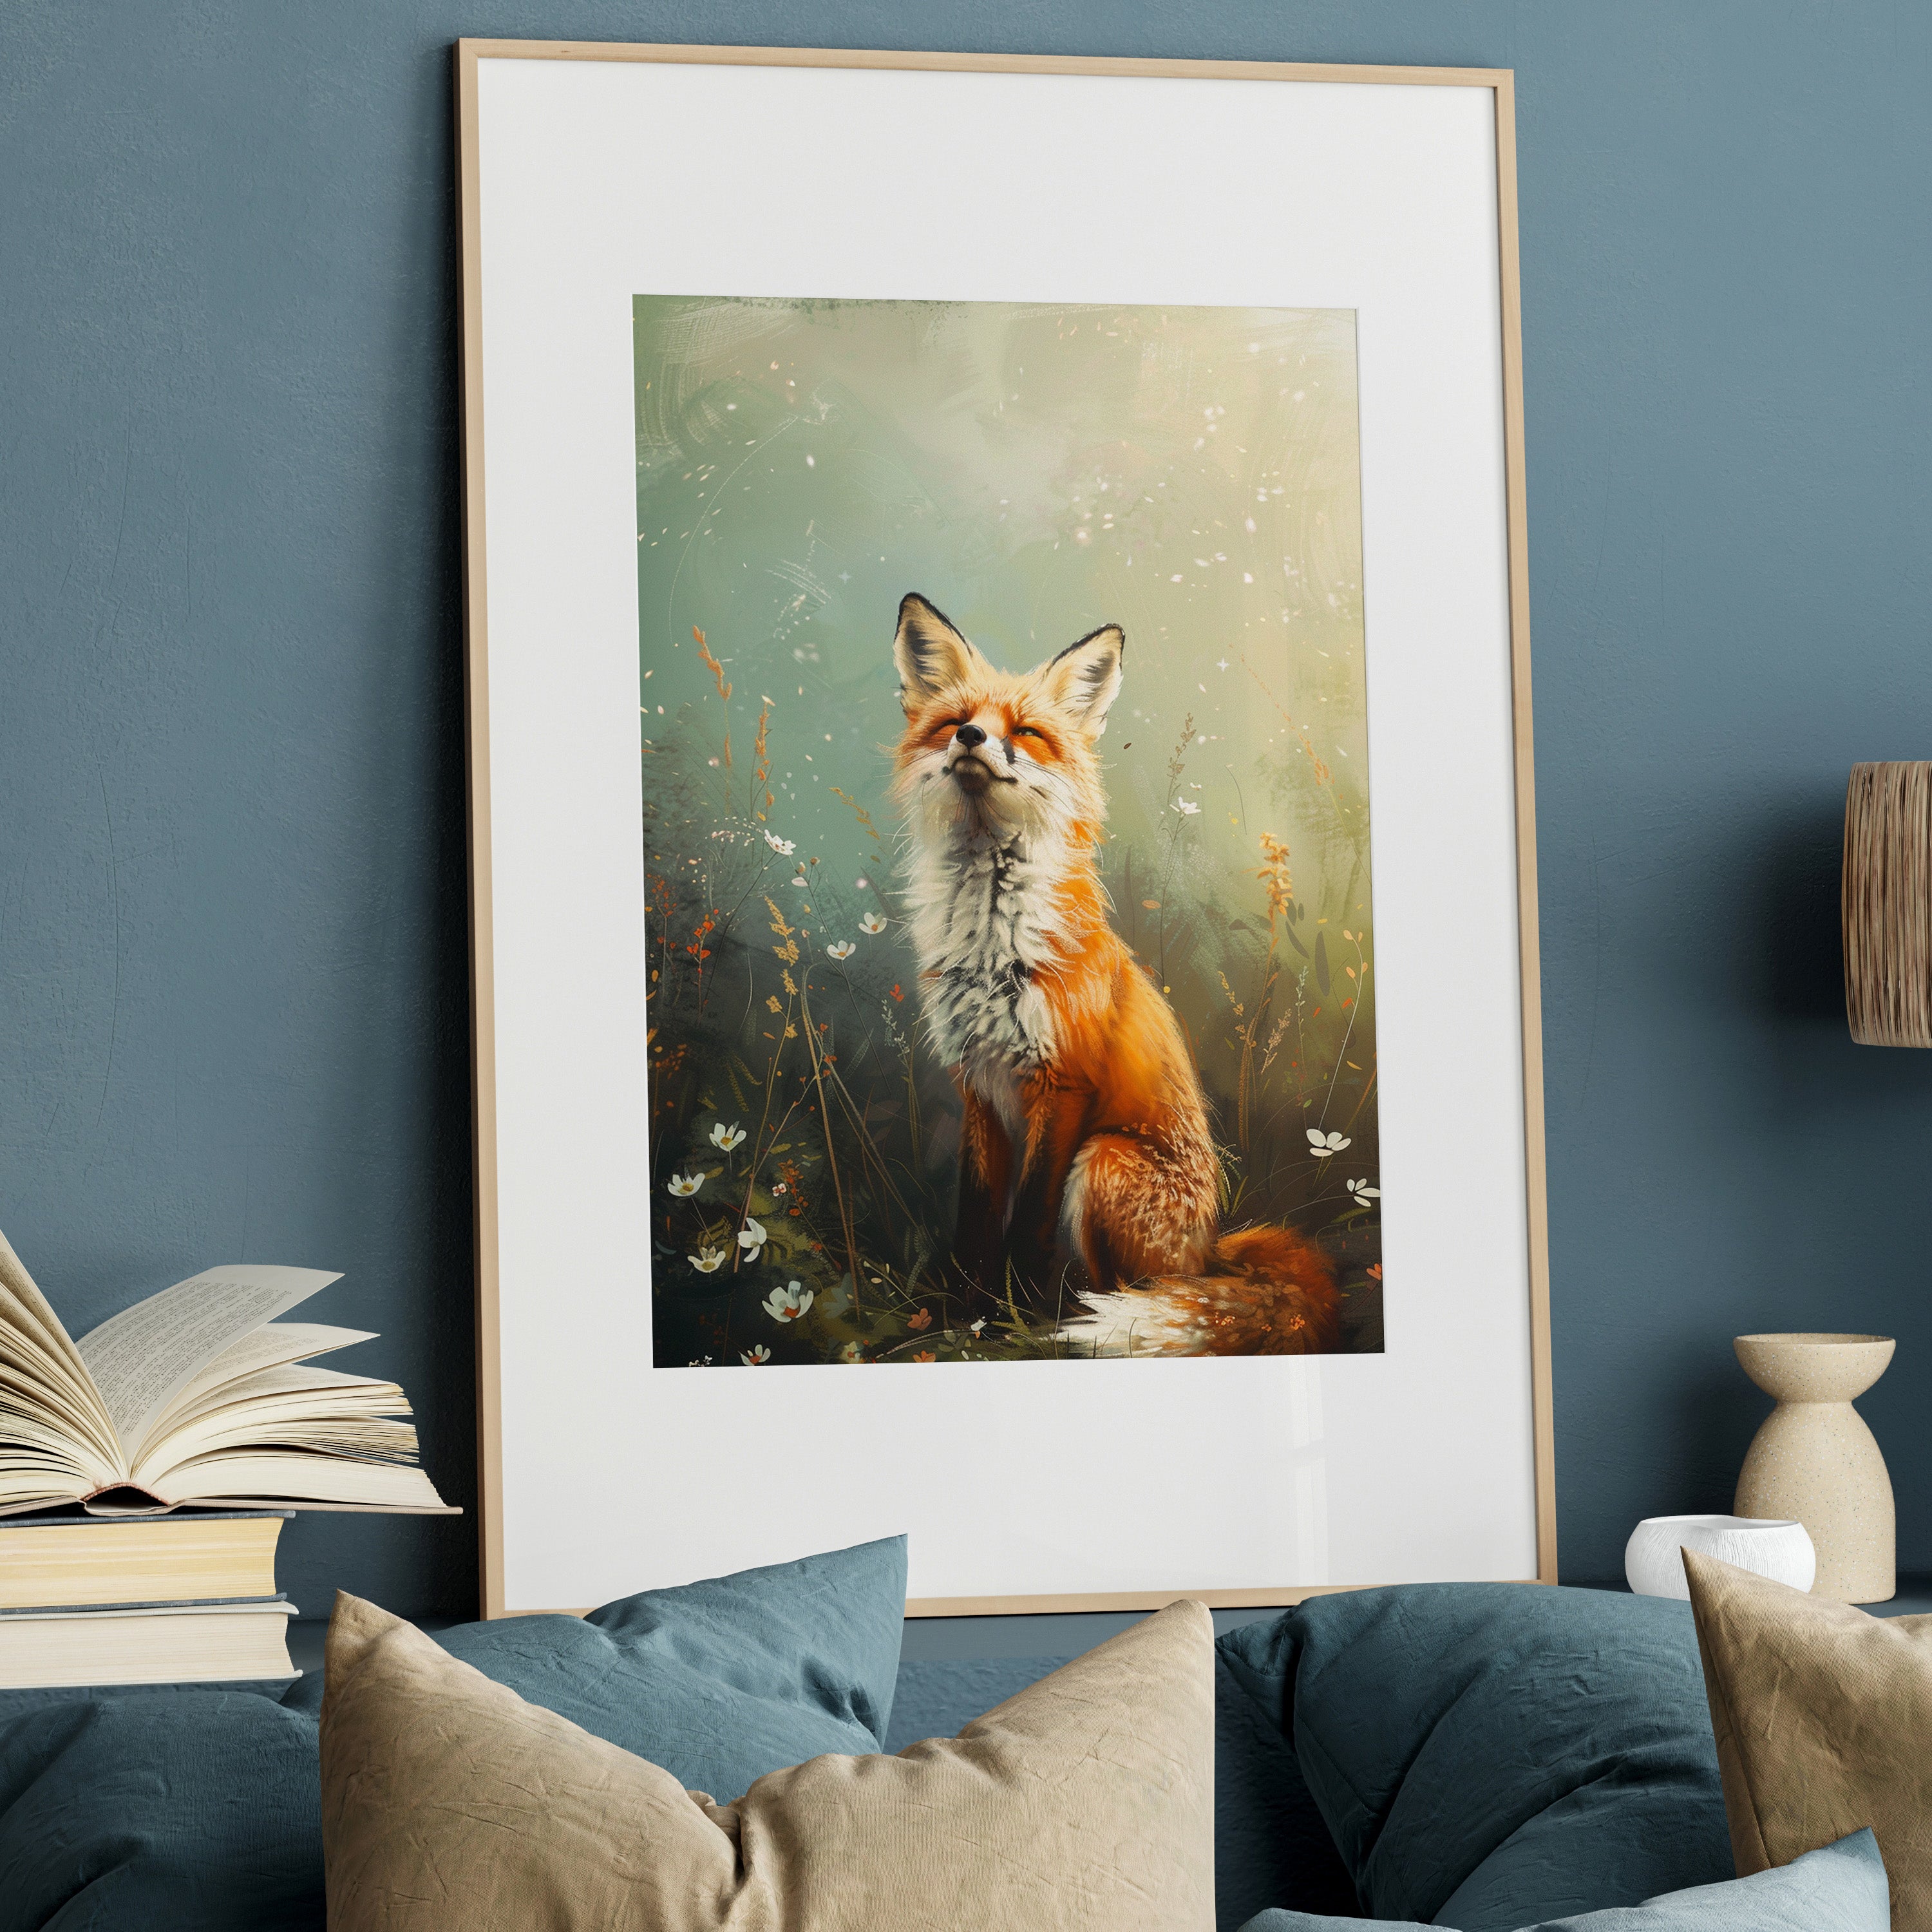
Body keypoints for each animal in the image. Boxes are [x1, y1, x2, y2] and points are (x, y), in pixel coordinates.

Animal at [889, 592, 1340, 1357]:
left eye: (1028, 732)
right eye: (955, 722)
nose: (972, 739)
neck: (991, 939)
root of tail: (1210, 1250)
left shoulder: (1063, 1082)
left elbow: (1027, 1228)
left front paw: (1011, 1316)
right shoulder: (977, 1084)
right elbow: (975, 1220)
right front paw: (959, 1312)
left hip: (1103, 1160)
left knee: (1136, 1291)